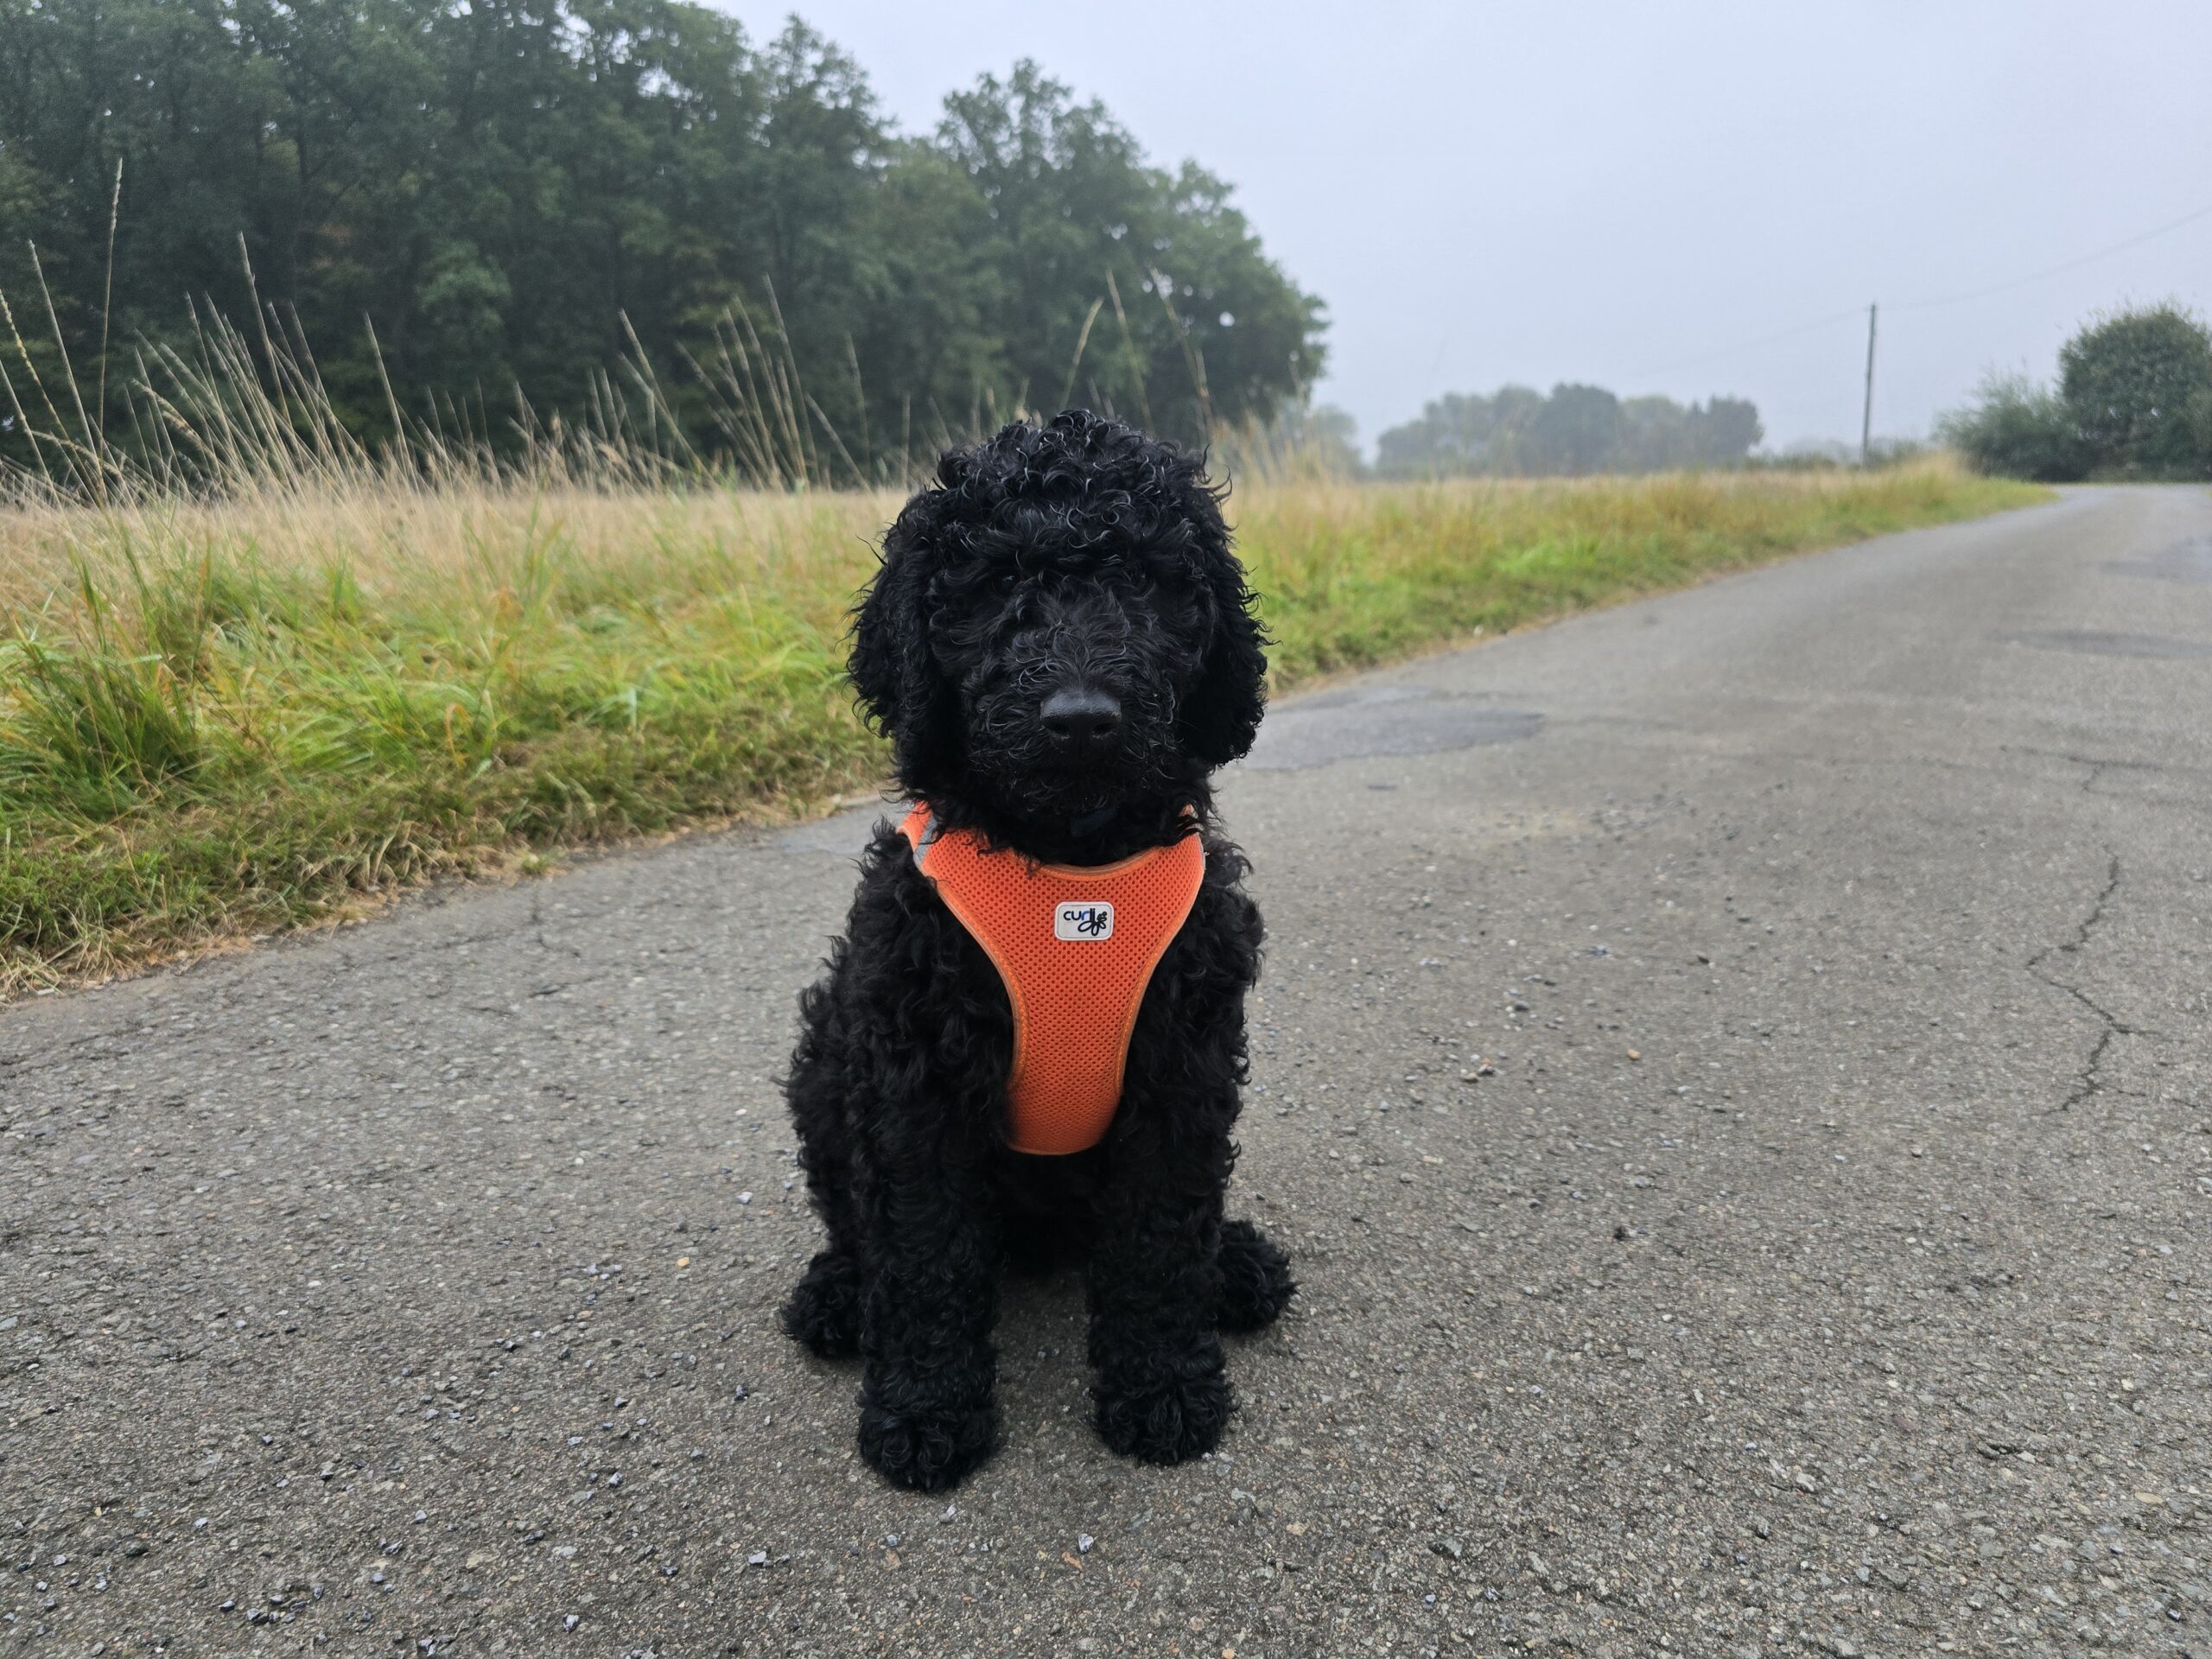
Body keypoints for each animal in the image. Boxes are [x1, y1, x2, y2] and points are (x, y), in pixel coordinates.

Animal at [779, 409, 1295, 1491]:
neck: (1070, 865)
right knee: (856, 1224)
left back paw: (1232, 1265)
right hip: (822, 1068)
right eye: (989, 586)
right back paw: (838, 1296)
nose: (1080, 719)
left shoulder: (1183, 1065)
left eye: (1144, 580)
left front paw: (1162, 1386)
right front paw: (925, 1410)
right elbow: (922, 1252)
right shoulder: (913, 1083)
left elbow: (1159, 1236)